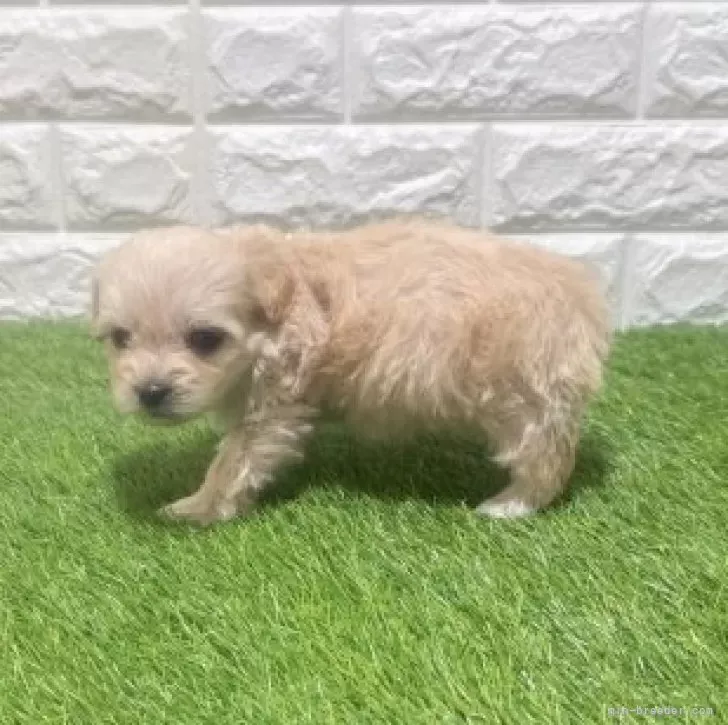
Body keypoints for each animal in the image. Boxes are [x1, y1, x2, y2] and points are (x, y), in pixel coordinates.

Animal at [91, 219, 611, 525]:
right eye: (120, 338)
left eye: (204, 338)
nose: (150, 391)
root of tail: (583, 296)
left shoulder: (273, 405)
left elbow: (233, 462)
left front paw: (196, 508)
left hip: (522, 394)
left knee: (545, 456)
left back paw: (509, 505)